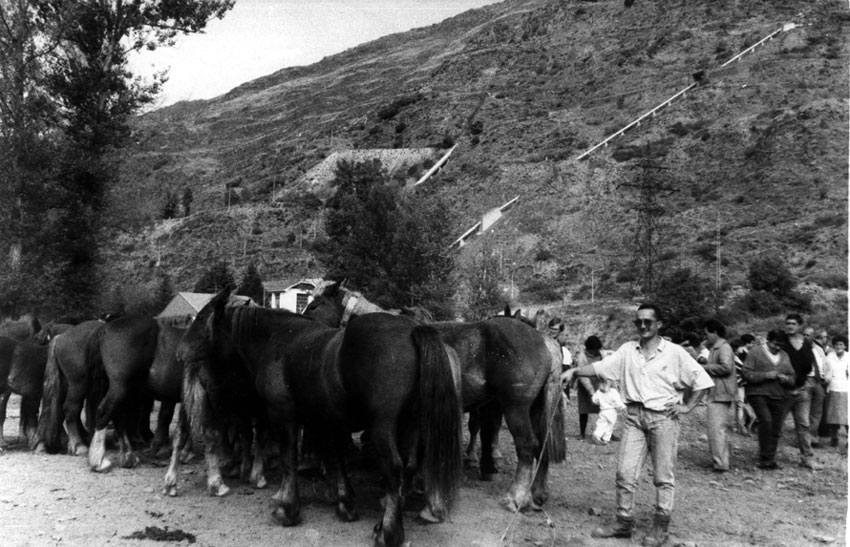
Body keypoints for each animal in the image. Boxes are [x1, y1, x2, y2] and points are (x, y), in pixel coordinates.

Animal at [86, 314, 184, 474]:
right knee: (105, 412)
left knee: (118, 416)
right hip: (120, 386)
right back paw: (98, 461)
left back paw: (127, 457)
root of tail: (104, 328)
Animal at [302, 282, 568, 512]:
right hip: (534, 408)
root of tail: (544, 339)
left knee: (527, 446)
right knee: (542, 444)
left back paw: (516, 497)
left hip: (516, 408)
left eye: (315, 305)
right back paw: (538, 493)